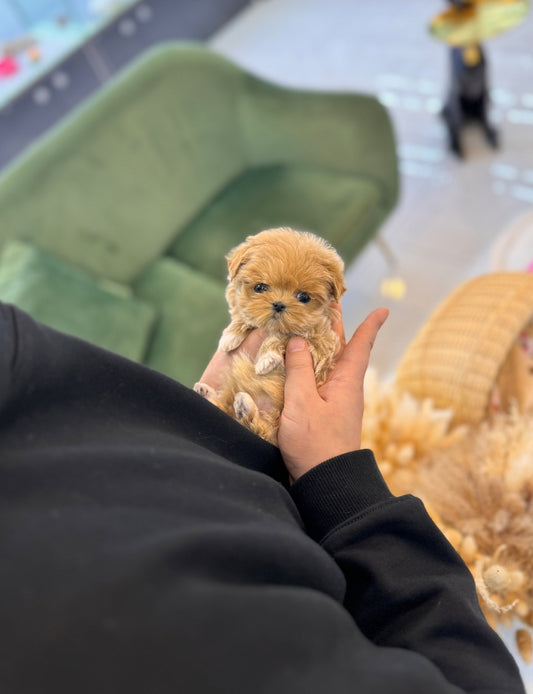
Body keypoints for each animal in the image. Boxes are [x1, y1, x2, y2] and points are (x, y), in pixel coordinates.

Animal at [193, 227, 348, 446]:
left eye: (304, 297)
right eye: (260, 287)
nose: (279, 304)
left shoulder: (319, 341)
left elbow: (281, 336)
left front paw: (266, 358)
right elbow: (243, 315)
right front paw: (230, 336)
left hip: (275, 423)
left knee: (258, 428)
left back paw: (245, 407)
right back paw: (209, 395)